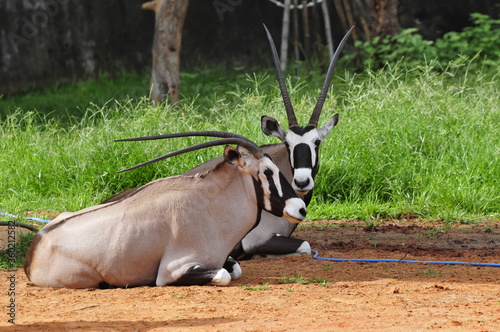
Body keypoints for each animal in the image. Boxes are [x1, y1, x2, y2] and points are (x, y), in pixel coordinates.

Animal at [23, 132, 306, 288]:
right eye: (267, 171)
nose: (301, 208)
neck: (211, 207)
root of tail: (37, 244)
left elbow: (234, 268)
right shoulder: (174, 270)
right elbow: (225, 274)